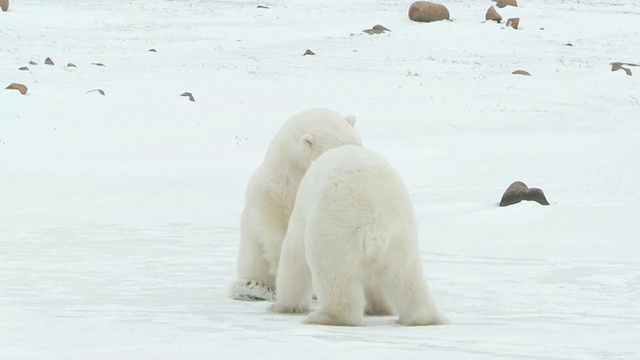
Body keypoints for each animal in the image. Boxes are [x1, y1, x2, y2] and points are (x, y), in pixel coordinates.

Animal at [268, 144, 444, 326]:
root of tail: (373, 227)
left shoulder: (303, 208)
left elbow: (294, 256)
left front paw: (283, 306)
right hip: (401, 237)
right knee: (407, 278)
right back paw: (423, 318)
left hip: (334, 237)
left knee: (335, 277)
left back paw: (327, 317)